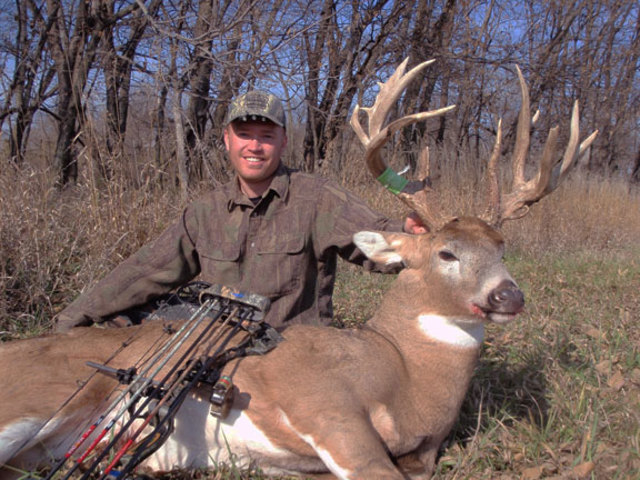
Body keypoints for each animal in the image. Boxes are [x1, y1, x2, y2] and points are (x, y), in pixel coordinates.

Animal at [0, 59, 597, 480]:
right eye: (446, 253)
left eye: (502, 248)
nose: (508, 296)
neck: (402, 373)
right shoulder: (325, 406)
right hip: (33, 400)